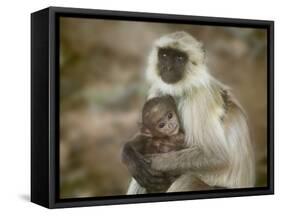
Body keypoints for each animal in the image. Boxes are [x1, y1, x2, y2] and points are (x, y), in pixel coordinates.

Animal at [123, 30, 255, 194]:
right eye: (164, 55)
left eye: (179, 58)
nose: (168, 68)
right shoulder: (159, 90)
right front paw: (129, 154)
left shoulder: (199, 96)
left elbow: (216, 155)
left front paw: (154, 162)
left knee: (187, 180)